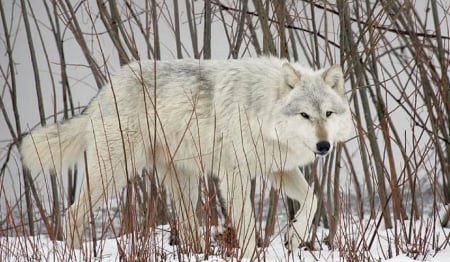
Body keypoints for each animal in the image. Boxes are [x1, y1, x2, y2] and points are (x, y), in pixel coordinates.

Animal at [20, 56, 352, 258]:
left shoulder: (276, 170)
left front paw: (294, 238)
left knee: (188, 226)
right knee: (72, 213)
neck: (261, 106)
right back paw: (76, 255)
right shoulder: (234, 176)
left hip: (184, 184)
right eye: (305, 115)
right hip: (114, 173)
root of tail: (103, 92)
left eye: (327, 114)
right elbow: (246, 227)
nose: (324, 146)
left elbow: (312, 200)